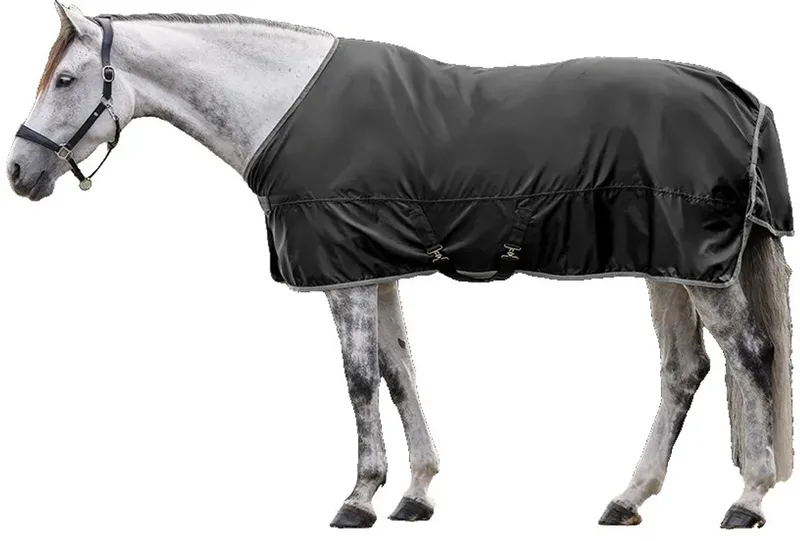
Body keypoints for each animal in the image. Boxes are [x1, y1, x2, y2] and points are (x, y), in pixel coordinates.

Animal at [6, 2, 793, 529]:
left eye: (67, 79)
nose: (18, 171)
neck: (283, 104)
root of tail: (742, 97)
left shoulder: (347, 276)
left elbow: (358, 378)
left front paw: (359, 496)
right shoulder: (374, 267)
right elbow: (398, 369)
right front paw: (415, 493)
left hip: (699, 268)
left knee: (750, 352)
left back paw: (747, 498)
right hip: (672, 266)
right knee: (685, 369)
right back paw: (628, 499)